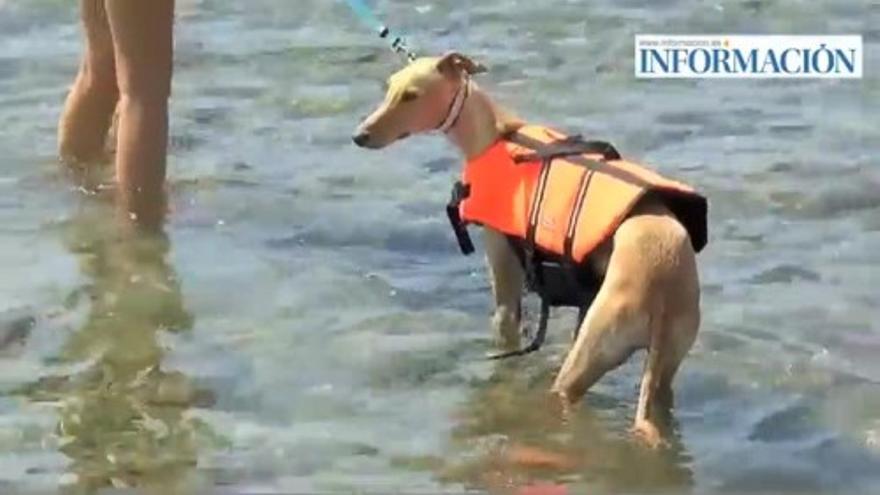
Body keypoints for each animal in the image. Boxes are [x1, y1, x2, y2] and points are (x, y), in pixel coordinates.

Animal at [350, 52, 700, 448]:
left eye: (411, 95)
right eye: (389, 88)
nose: (359, 136)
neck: (497, 135)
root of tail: (664, 287)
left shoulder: (504, 273)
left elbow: (505, 329)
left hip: (589, 355)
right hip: (665, 364)